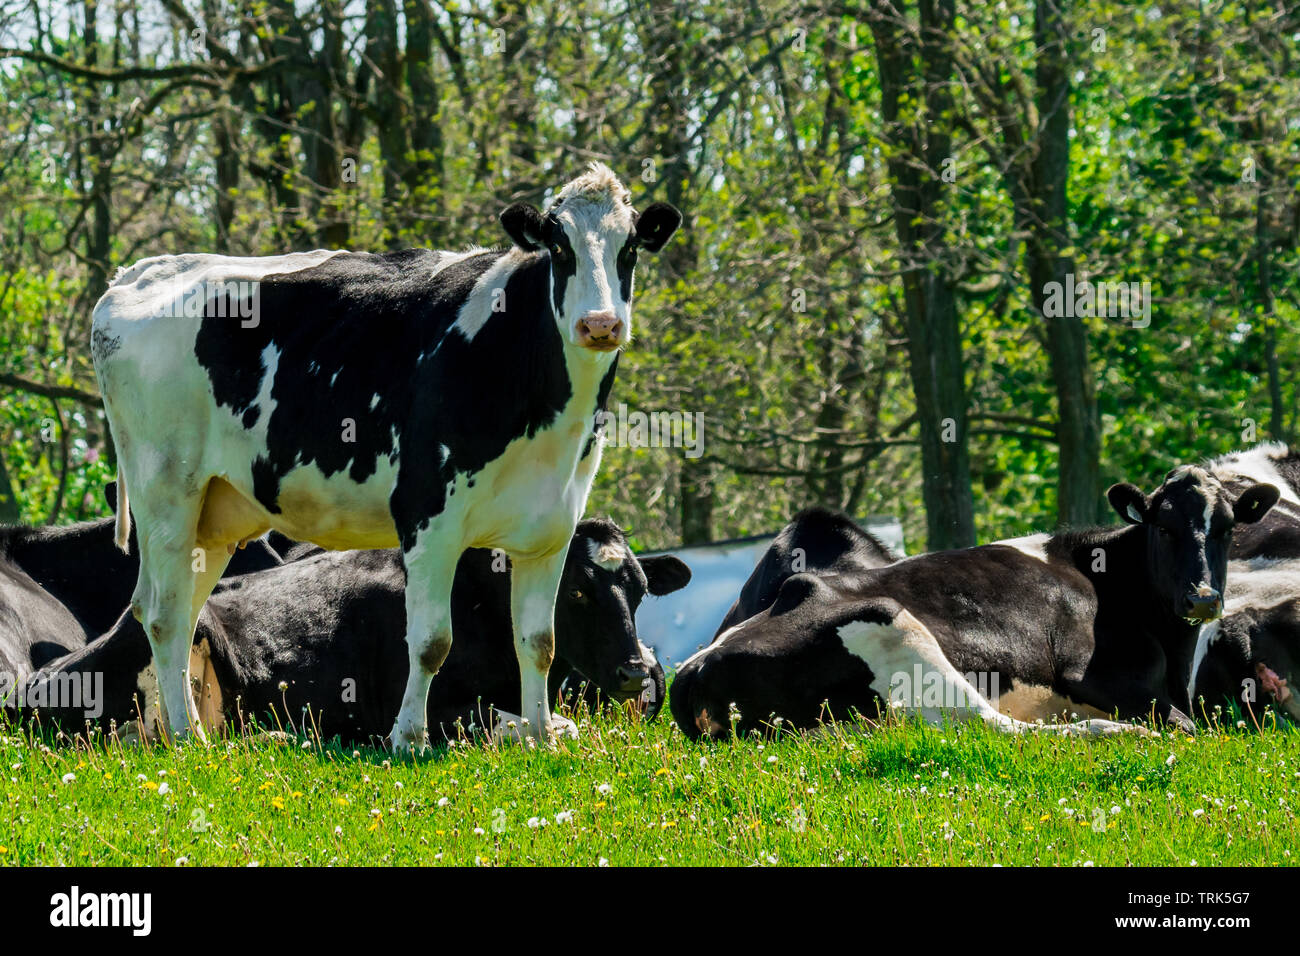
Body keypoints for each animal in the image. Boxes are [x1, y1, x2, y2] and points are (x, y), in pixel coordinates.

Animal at [11, 519, 690, 745]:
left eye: (639, 590)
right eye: (574, 590)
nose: (635, 670)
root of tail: (30, 685)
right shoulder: (421, 706)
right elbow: (551, 726)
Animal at [90, 163, 681, 749]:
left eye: (630, 248)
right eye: (560, 247)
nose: (600, 324)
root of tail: (138, 274)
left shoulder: (552, 526)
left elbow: (538, 640)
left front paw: (541, 735)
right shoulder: (428, 515)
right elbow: (429, 641)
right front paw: (409, 737)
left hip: (214, 515)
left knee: (181, 611)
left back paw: (185, 730)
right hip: (166, 492)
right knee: (164, 614)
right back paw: (186, 739)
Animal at [670, 467, 1279, 740]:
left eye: (1226, 527)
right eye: (1165, 527)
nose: (1203, 596)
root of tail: (692, 666)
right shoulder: (1098, 675)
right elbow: (1191, 727)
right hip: (891, 623)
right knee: (999, 727)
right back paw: (1118, 735)